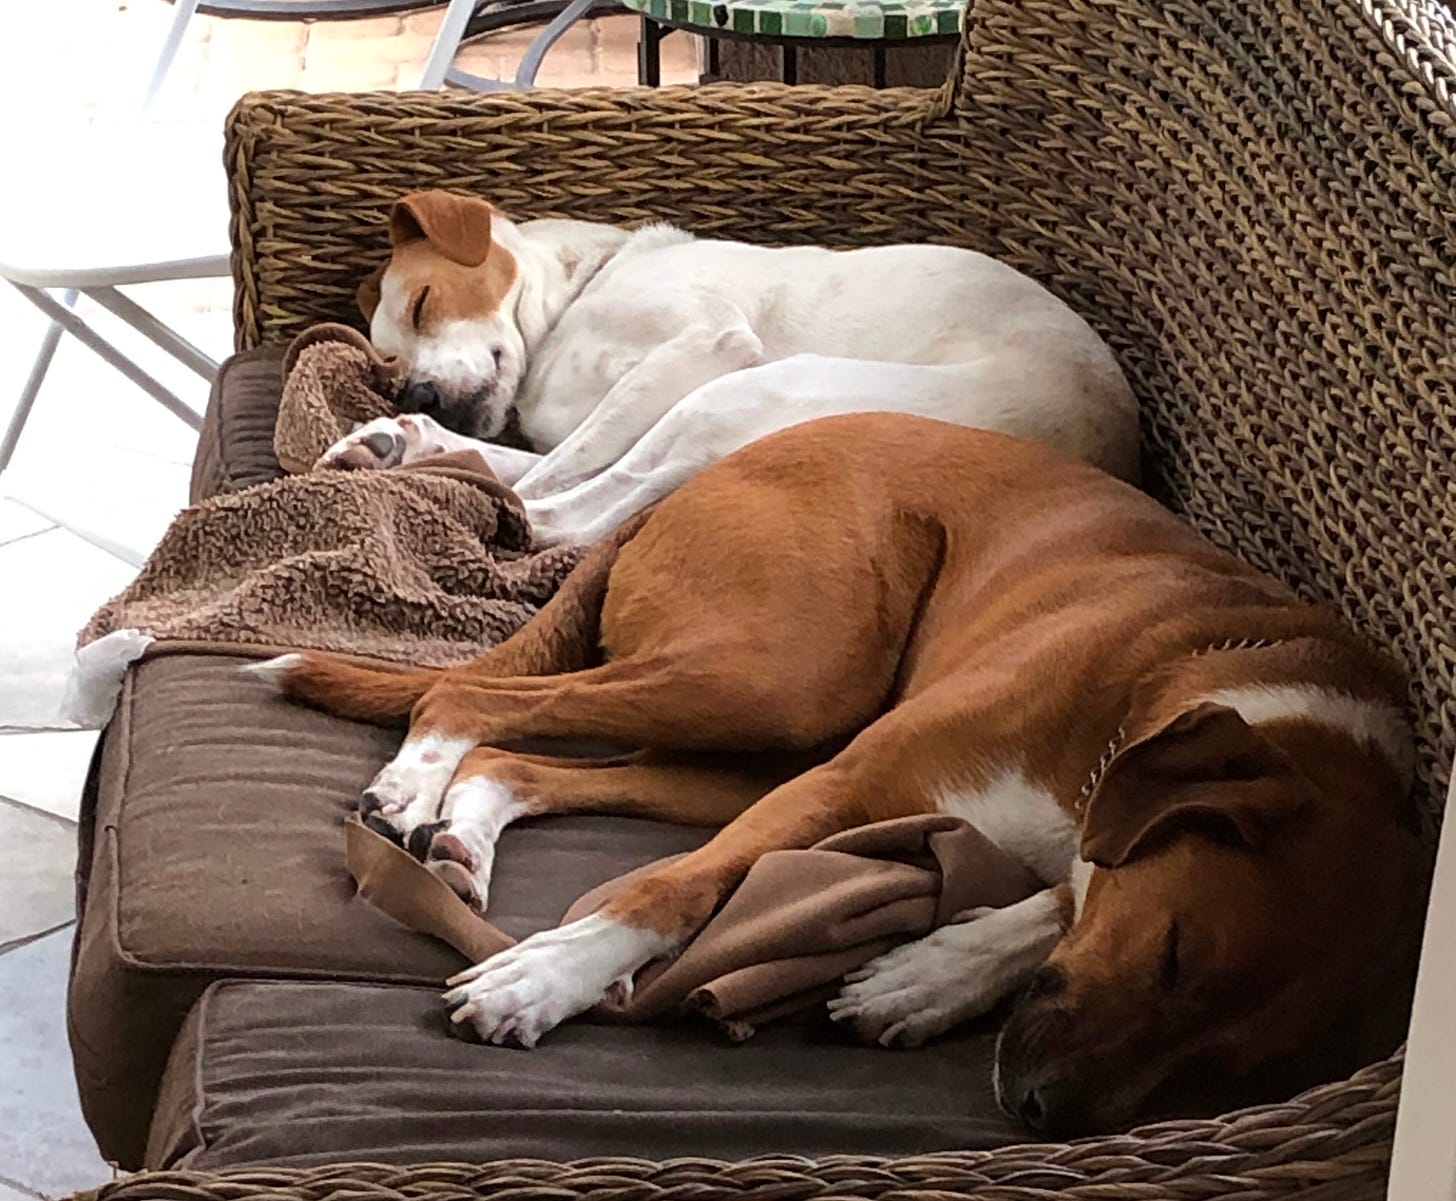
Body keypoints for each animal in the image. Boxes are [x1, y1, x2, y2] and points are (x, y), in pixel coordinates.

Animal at [256, 416, 1415, 1141]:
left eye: (1234, 1067)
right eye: (1174, 954)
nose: (1041, 1110)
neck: (1200, 669)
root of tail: (692, 480)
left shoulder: (1063, 841)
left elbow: (1053, 900)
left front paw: (928, 976)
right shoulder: (847, 787)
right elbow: (668, 891)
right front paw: (542, 979)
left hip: (750, 752)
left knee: (515, 755)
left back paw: (460, 835)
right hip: (781, 682)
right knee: (468, 697)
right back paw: (413, 791)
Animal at [315, 190, 1135, 544]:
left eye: (424, 302)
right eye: (389, 361)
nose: (421, 392)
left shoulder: (704, 344)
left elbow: (564, 465)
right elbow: (549, 454)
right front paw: (415, 435)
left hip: (744, 389)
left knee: (577, 514)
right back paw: (402, 447)